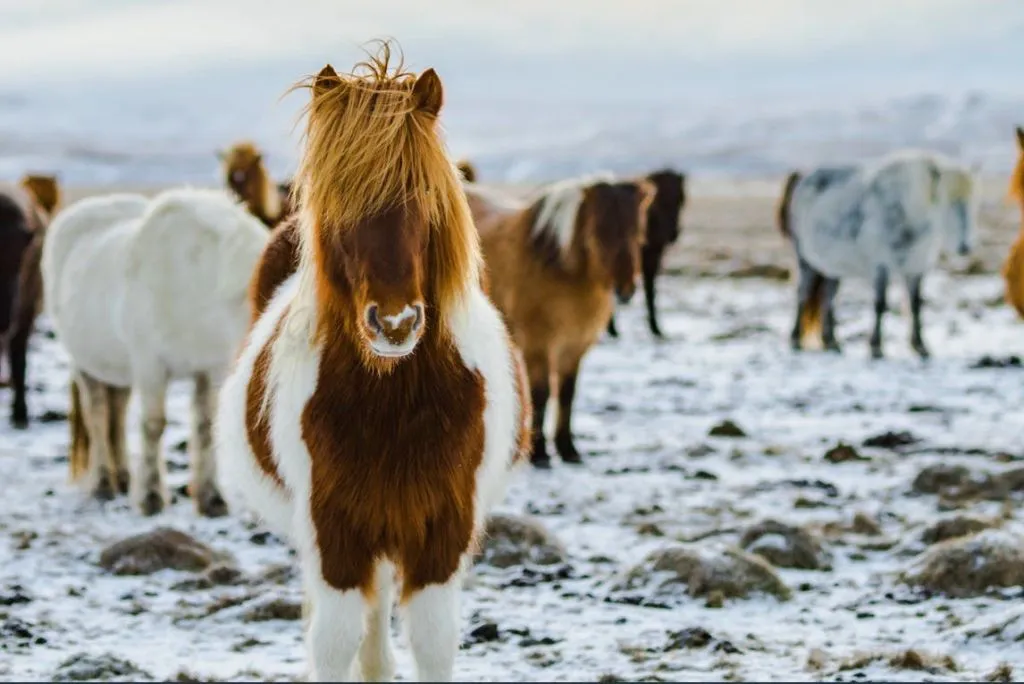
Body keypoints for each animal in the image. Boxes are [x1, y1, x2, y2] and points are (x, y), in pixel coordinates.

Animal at [42, 187, 268, 515]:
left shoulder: (211, 367)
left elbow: (205, 428)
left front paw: (211, 498)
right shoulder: (151, 365)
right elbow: (153, 426)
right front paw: (151, 497)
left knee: (117, 413)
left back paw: (123, 478)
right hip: (84, 365)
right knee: (97, 415)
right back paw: (103, 485)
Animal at [214, 43, 530, 681]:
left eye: (428, 197)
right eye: (338, 204)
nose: (395, 324)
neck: (393, 404)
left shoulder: (440, 533)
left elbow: (433, 644)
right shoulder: (334, 533)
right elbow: (333, 643)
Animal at [465, 174, 653, 468]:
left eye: (638, 232)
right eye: (598, 233)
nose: (625, 291)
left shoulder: (574, 347)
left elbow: (566, 394)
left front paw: (568, 449)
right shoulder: (538, 344)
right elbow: (541, 393)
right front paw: (541, 453)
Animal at [606, 168, 687, 338]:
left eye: (682, 199)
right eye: (661, 201)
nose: (673, 234)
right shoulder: (649, 257)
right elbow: (649, 292)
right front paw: (655, 328)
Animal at [776, 149, 976, 359]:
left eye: (971, 202)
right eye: (945, 202)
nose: (964, 247)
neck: (904, 212)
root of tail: (802, 176)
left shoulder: (915, 269)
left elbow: (916, 306)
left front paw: (921, 346)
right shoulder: (881, 267)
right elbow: (880, 304)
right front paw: (876, 346)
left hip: (832, 268)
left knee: (828, 298)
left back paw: (832, 342)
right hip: (805, 260)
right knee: (803, 294)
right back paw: (796, 339)